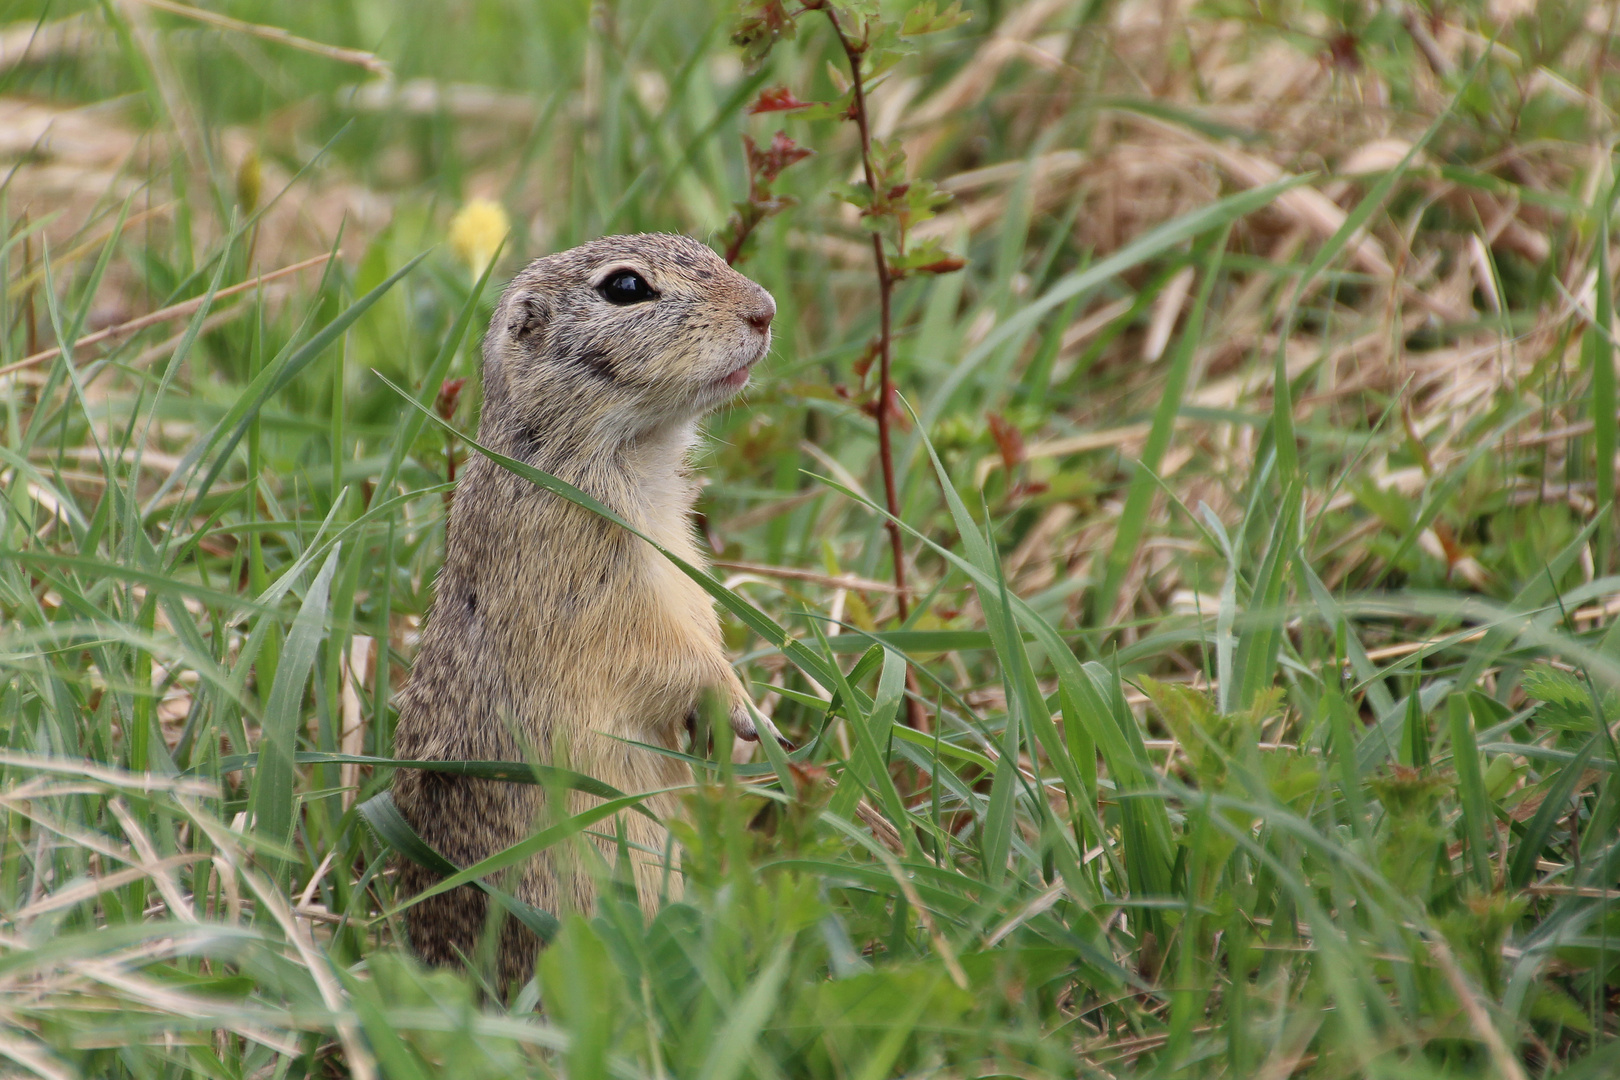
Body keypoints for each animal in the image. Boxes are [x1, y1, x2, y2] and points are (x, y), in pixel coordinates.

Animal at [388, 233, 774, 984]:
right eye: (626, 288)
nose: (765, 309)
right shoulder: (590, 583)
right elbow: (663, 651)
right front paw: (742, 707)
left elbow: (703, 622)